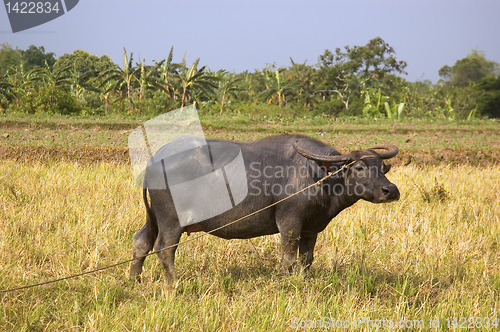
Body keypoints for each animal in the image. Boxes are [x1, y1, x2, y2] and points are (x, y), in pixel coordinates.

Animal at [129, 134, 398, 282]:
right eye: (359, 167)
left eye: (381, 167)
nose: (391, 191)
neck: (320, 176)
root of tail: (155, 160)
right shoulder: (289, 223)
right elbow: (288, 259)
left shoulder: (311, 228)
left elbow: (307, 259)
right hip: (170, 219)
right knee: (164, 248)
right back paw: (174, 284)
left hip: (154, 217)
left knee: (141, 241)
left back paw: (135, 280)